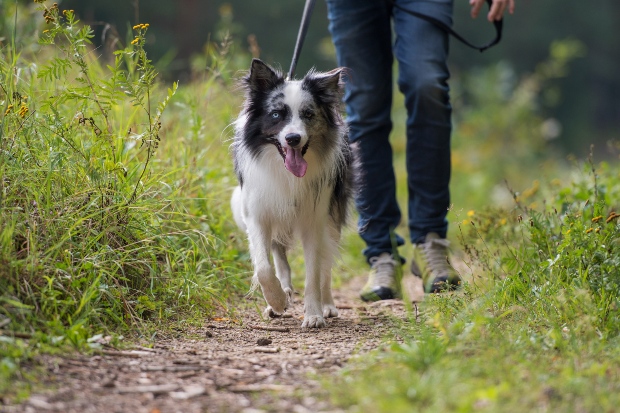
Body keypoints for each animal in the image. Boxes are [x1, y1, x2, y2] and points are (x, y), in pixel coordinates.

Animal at [229, 58, 356, 328]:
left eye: (308, 114)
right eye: (277, 114)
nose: (293, 138)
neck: (286, 172)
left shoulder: (315, 219)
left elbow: (314, 273)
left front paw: (314, 314)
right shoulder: (258, 214)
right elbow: (264, 267)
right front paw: (276, 300)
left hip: (332, 216)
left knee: (326, 265)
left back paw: (328, 305)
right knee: (279, 256)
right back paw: (282, 295)